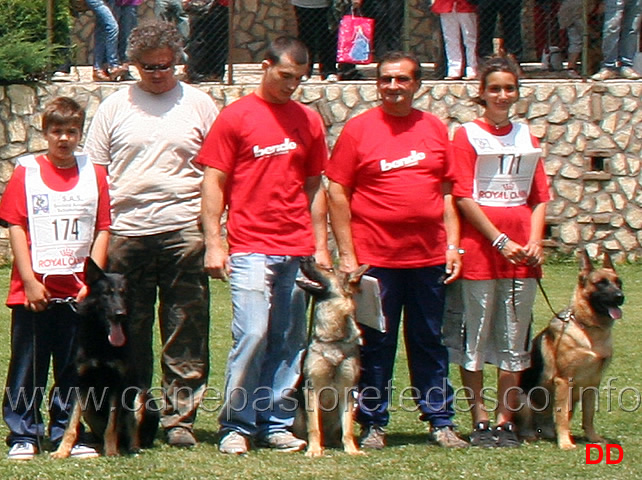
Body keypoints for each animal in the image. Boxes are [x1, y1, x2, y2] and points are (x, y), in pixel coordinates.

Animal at [51, 258, 159, 458]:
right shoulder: (81, 384)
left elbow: (112, 425)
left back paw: (132, 447)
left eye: (124, 294)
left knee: (132, 430)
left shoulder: (117, 386)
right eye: (106, 294)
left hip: (140, 396)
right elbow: (71, 424)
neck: (102, 340)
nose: (120, 314)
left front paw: (111, 452)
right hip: (90, 407)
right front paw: (62, 451)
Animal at [294, 258, 368, 458]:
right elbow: (314, 427)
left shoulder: (347, 391)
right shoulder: (312, 389)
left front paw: (352, 450)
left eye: (328, 269)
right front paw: (314, 450)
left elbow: (348, 429)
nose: (305, 257)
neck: (332, 339)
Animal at [516, 249, 624, 448]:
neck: (589, 328)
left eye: (618, 282)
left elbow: (588, 416)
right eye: (601, 283)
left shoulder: (592, 384)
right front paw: (565, 443)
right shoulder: (564, 381)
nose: (620, 297)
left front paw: (593, 438)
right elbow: (561, 416)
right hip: (523, 400)